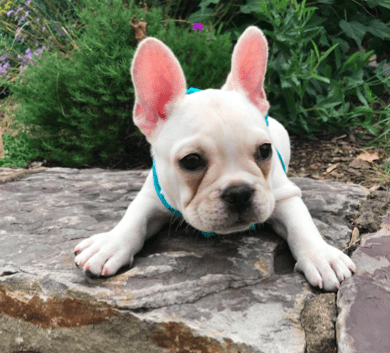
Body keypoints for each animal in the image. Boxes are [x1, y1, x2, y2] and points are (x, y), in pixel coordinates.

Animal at [74, 24, 356, 288]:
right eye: (191, 161)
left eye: (265, 150)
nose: (239, 192)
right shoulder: (152, 196)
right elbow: (133, 218)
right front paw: (110, 243)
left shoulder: (284, 194)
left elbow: (302, 225)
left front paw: (322, 256)